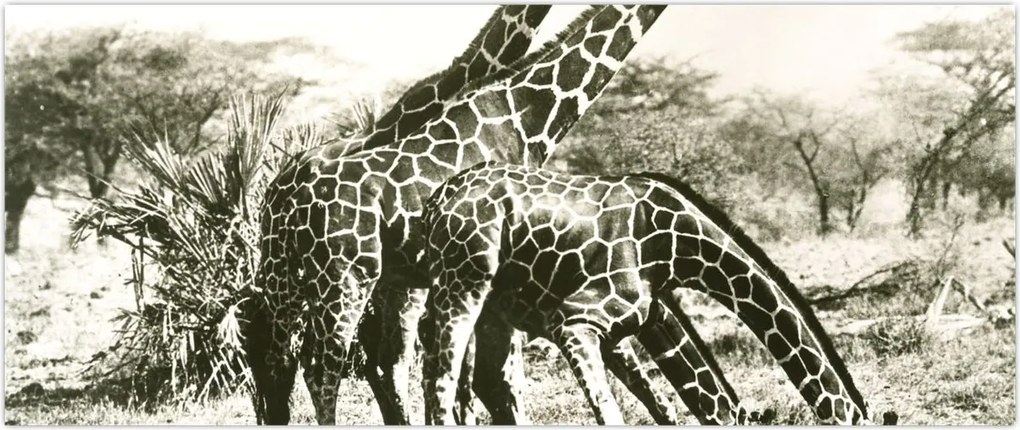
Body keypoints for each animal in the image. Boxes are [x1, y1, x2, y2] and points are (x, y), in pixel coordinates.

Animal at [244, 5, 667, 425]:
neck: (526, 114)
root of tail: (285, 197)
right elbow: (498, 378)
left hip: (289, 276)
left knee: (285, 362)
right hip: (347, 277)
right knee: (323, 367)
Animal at [419, 161, 900, 425]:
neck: (678, 244)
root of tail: (435, 201)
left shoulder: (639, 320)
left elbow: (671, 402)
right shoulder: (575, 321)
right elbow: (612, 410)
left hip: (487, 307)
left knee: (474, 378)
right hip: (467, 280)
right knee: (443, 375)